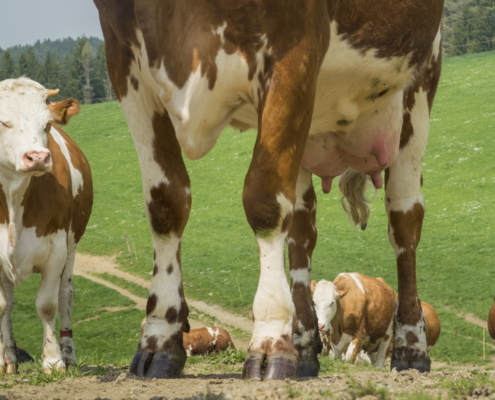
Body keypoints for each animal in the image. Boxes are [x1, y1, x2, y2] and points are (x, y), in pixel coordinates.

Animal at [0, 78, 93, 376]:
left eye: (47, 124)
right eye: (3, 122)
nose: (38, 157)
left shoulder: (56, 250)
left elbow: (47, 305)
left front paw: (53, 361)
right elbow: (2, 306)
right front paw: (4, 360)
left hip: (72, 250)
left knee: (65, 296)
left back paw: (68, 354)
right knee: (9, 302)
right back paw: (10, 357)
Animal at [95, 0, 444, 380]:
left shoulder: (293, 52)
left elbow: (264, 202)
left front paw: (270, 338)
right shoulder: (125, 62)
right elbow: (166, 204)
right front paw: (159, 338)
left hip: (418, 84)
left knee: (404, 220)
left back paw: (411, 347)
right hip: (309, 126)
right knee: (302, 232)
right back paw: (304, 347)